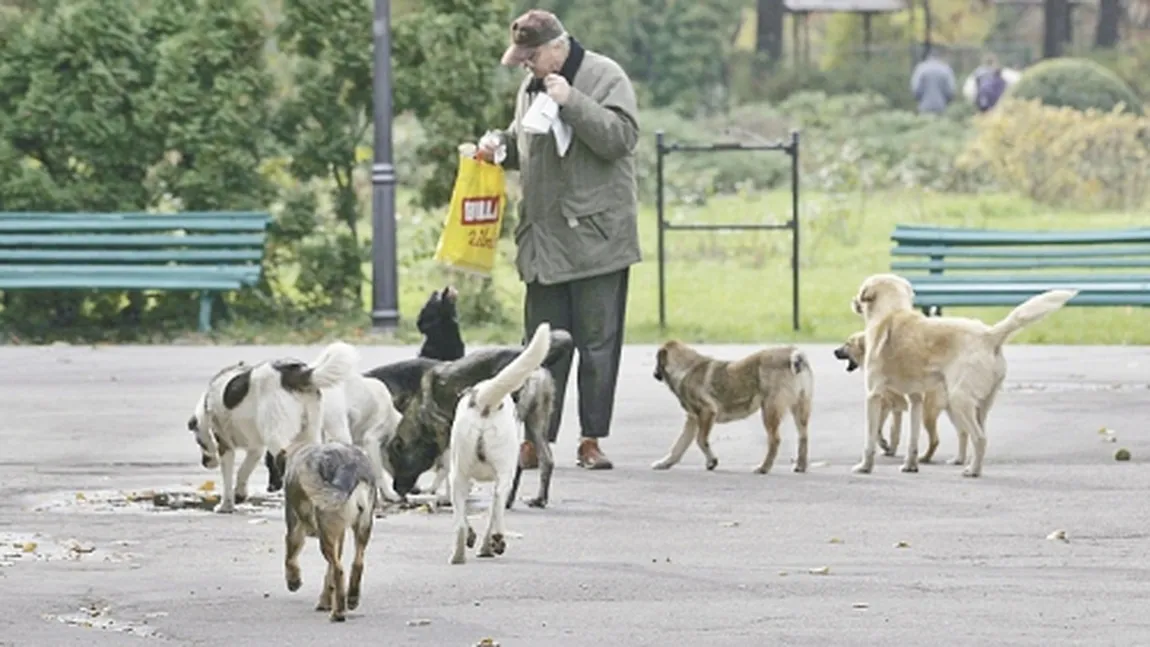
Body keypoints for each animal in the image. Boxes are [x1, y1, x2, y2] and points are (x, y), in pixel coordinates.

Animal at [448, 321, 552, 563]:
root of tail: (485, 398)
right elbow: (492, 513)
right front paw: (489, 545)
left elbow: (467, 517)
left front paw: (480, 543)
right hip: (504, 469)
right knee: (498, 502)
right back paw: (497, 538)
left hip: (459, 473)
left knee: (462, 523)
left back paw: (458, 556)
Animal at [653, 342, 814, 473]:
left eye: (657, 360)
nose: (654, 374)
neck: (685, 367)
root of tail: (793, 353)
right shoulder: (693, 419)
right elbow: (678, 446)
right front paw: (665, 463)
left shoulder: (707, 412)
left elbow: (701, 440)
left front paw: (712, 461)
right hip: (800, 409)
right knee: (803, 437)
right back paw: (800, 466)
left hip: (769, 411)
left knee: (775, 440)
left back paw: (764, 468)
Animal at [832, 330, 947, 464]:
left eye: (848, 344)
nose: (834, 351)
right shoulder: (895, 408)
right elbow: (894, 431)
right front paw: (891, 450)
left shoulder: (885, 404)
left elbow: (877, 429)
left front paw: (884, 444)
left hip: (926, 412)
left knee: (935, 440)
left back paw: (925, 457)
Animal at [846, 271, 1076, 478]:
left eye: (861, 291)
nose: (853, 301)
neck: (891, 312)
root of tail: (989, 335)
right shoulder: (916, 400)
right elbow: (912, 439)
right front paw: (910, 466)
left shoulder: (874, 396)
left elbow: (871, 437)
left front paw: (865, 466)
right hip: (981, 406)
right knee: (979, 436)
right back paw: (971, 466)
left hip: (959, 400)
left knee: (979, 438)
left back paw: (973, 471)